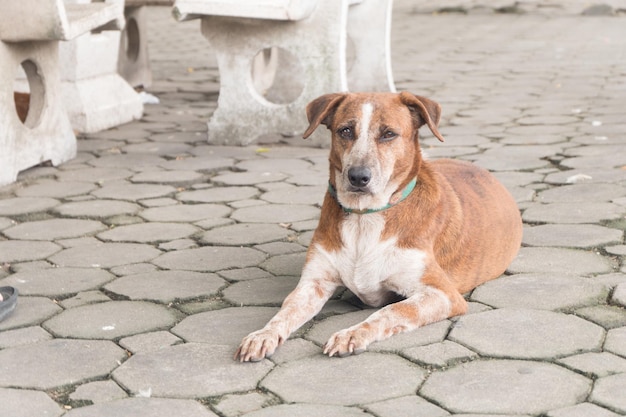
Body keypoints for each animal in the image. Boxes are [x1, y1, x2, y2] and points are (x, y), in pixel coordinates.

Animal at [234, 91, 520, 360]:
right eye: (345, 130)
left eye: (388, 134)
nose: (358, 176)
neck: (365, 217)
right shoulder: (314, 283)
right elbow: (285, 311)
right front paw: (262, 335)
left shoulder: (442, 294)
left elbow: (390, 311)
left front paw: (352, 334)